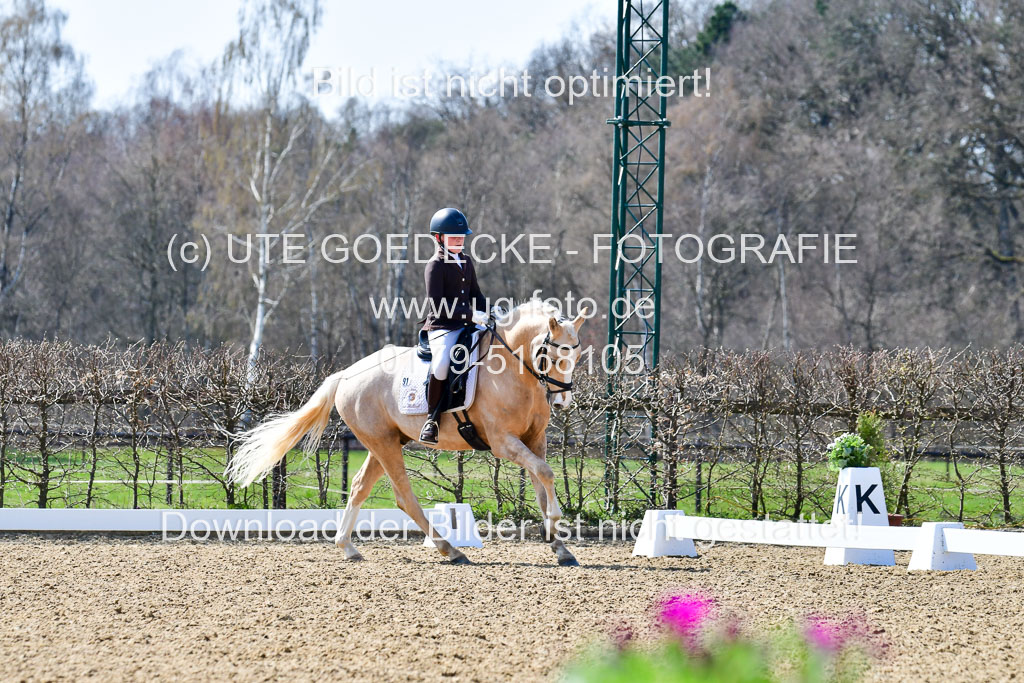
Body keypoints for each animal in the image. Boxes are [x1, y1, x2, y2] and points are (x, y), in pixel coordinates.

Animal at [228, 301, 589, 565]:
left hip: (383, 442)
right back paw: (450, 550)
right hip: (384, 443)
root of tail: (345, 375)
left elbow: (541, 483)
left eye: (576, 353)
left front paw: (559, 545)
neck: (513, 370)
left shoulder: (534, 441)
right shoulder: (503, 443)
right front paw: (557, 521)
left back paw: (348, 548)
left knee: (359, 487)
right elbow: (546, 473)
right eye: (552, 354)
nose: (563, 401)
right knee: (404, 496)